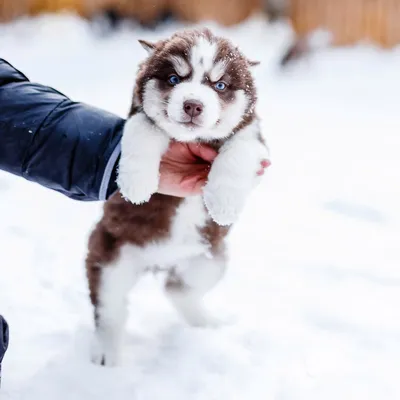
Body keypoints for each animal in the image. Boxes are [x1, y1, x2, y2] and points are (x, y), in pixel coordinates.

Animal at [86, 27, 270, 366]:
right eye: (174, 79)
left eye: (220, 85)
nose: (193, 105)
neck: (193, 139)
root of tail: (159, 262)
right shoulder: (139, 117)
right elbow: (143, 131)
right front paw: (136, 183)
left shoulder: (254, 138)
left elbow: (239, 152)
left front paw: (224, 203)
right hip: (109, 257)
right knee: (109, 309)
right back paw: (105, 351)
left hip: (211, 259)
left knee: (177, 289)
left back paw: (205, 322)